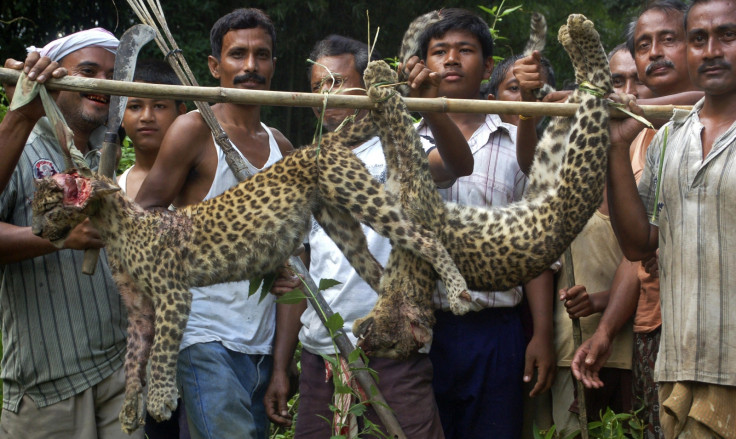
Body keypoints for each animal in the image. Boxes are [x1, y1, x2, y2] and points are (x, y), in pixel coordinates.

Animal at [30, 124, 466, 434]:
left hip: (362, 197)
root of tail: (315, 145)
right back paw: (394, 325)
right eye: (36, 208)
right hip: (340, 223)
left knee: (424, 237)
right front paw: (128, 413)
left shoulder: (173, 295)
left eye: (48, 207)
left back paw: (456, 291)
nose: (35, 231)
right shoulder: (140, 310)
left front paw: (160, 400)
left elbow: (161, 352)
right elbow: (133, 360)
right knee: (376, 272)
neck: (113, 226)